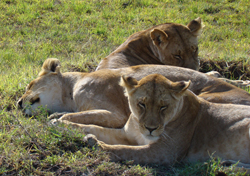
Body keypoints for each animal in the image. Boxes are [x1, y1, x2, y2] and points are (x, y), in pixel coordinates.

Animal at [17, 58, 250, 129]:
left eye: (30, 85)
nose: (18, 103)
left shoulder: (116, 114)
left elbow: (73, 116)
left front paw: (57, 119)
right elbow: (72, 114)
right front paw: (57, 115)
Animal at [52, 74, 250, 166]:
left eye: (163, 107)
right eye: (142, 104)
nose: (150, 129)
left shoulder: (164, 153)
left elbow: (124, 150)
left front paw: (95, 144)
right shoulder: (127, 135)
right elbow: (93, 127)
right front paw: (60, 122)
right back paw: (227, 164)